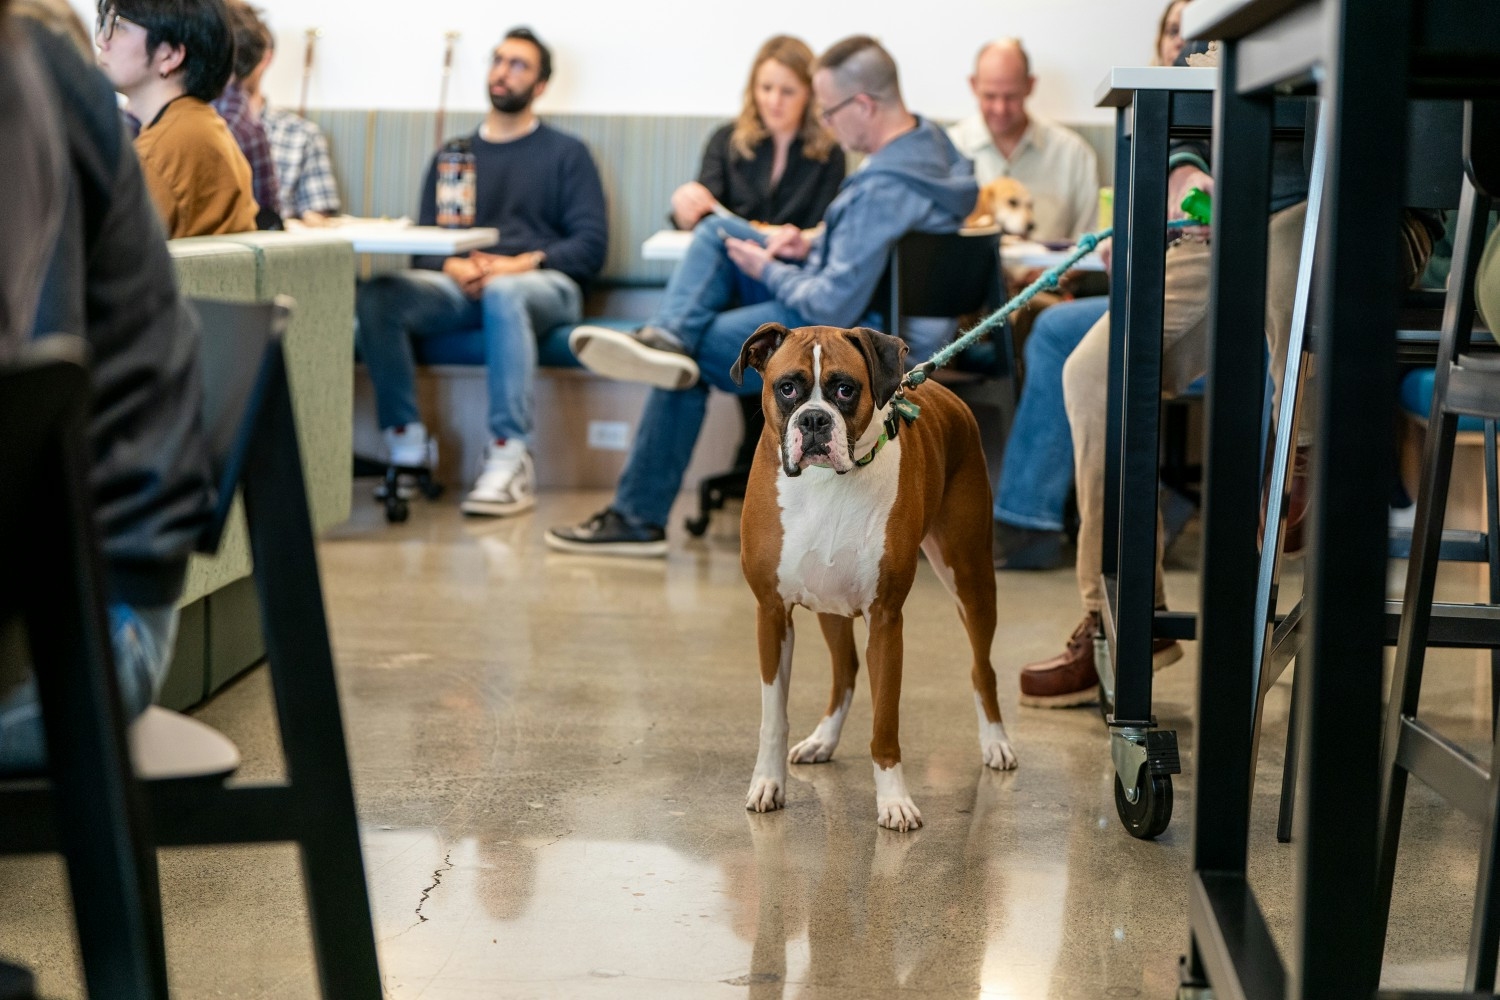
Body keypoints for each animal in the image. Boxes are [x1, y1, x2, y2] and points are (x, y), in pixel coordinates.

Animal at [729, 325, 1020, 833]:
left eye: (846, 390)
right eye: (787, 388)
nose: (814, 420)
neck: (824, 485)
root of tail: (940, 389)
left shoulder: (885, 619)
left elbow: (885, 721)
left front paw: (894, 801)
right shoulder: (772, 612)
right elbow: (773, 716)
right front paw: (768, 783)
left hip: (971, 576)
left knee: (981, 667)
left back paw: (996, 741)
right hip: (831, 604)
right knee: (845, 670)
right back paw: (823, 740)